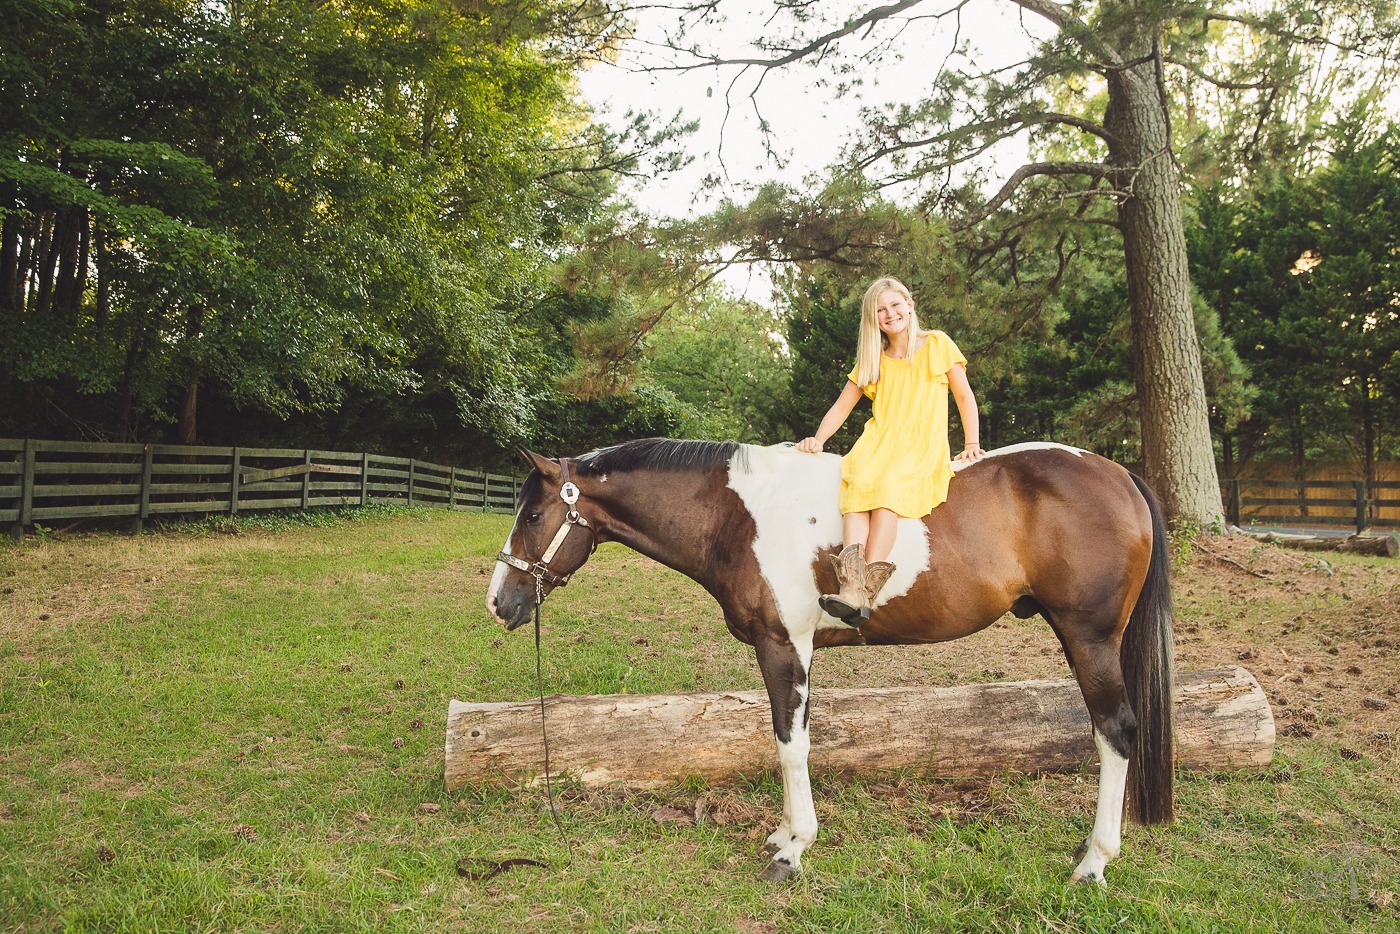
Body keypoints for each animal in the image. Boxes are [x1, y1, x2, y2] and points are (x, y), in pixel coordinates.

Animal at [487, 439, 1176, 884]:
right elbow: (792, 742)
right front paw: (785, 833)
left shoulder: (782, 644)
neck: (741, 515)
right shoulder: (795, 648)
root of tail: (1118, 474)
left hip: (1089, 638)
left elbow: (790, 745)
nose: (499, 602)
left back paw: (1094, 862)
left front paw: (793, 851)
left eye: (533, 513)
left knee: (1115, 732)